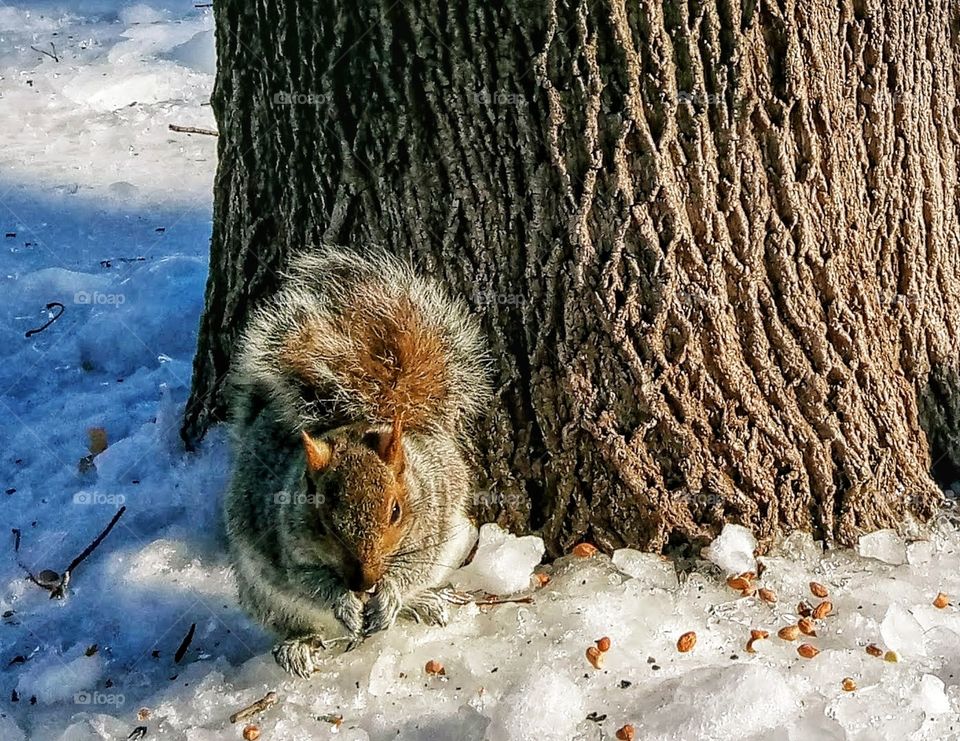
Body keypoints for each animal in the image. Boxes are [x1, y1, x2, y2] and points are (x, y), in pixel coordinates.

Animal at [223, 246, 491, 677]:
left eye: (396, 511)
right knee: (294, 622)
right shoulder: (289, 545)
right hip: (262, 592)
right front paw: (345, 604)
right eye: (320, 520)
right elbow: (309, 582)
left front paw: (391, 596)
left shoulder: (430, 527)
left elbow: (412, 567)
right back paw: (298, 646)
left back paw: (422, 602)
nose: (364, 583)